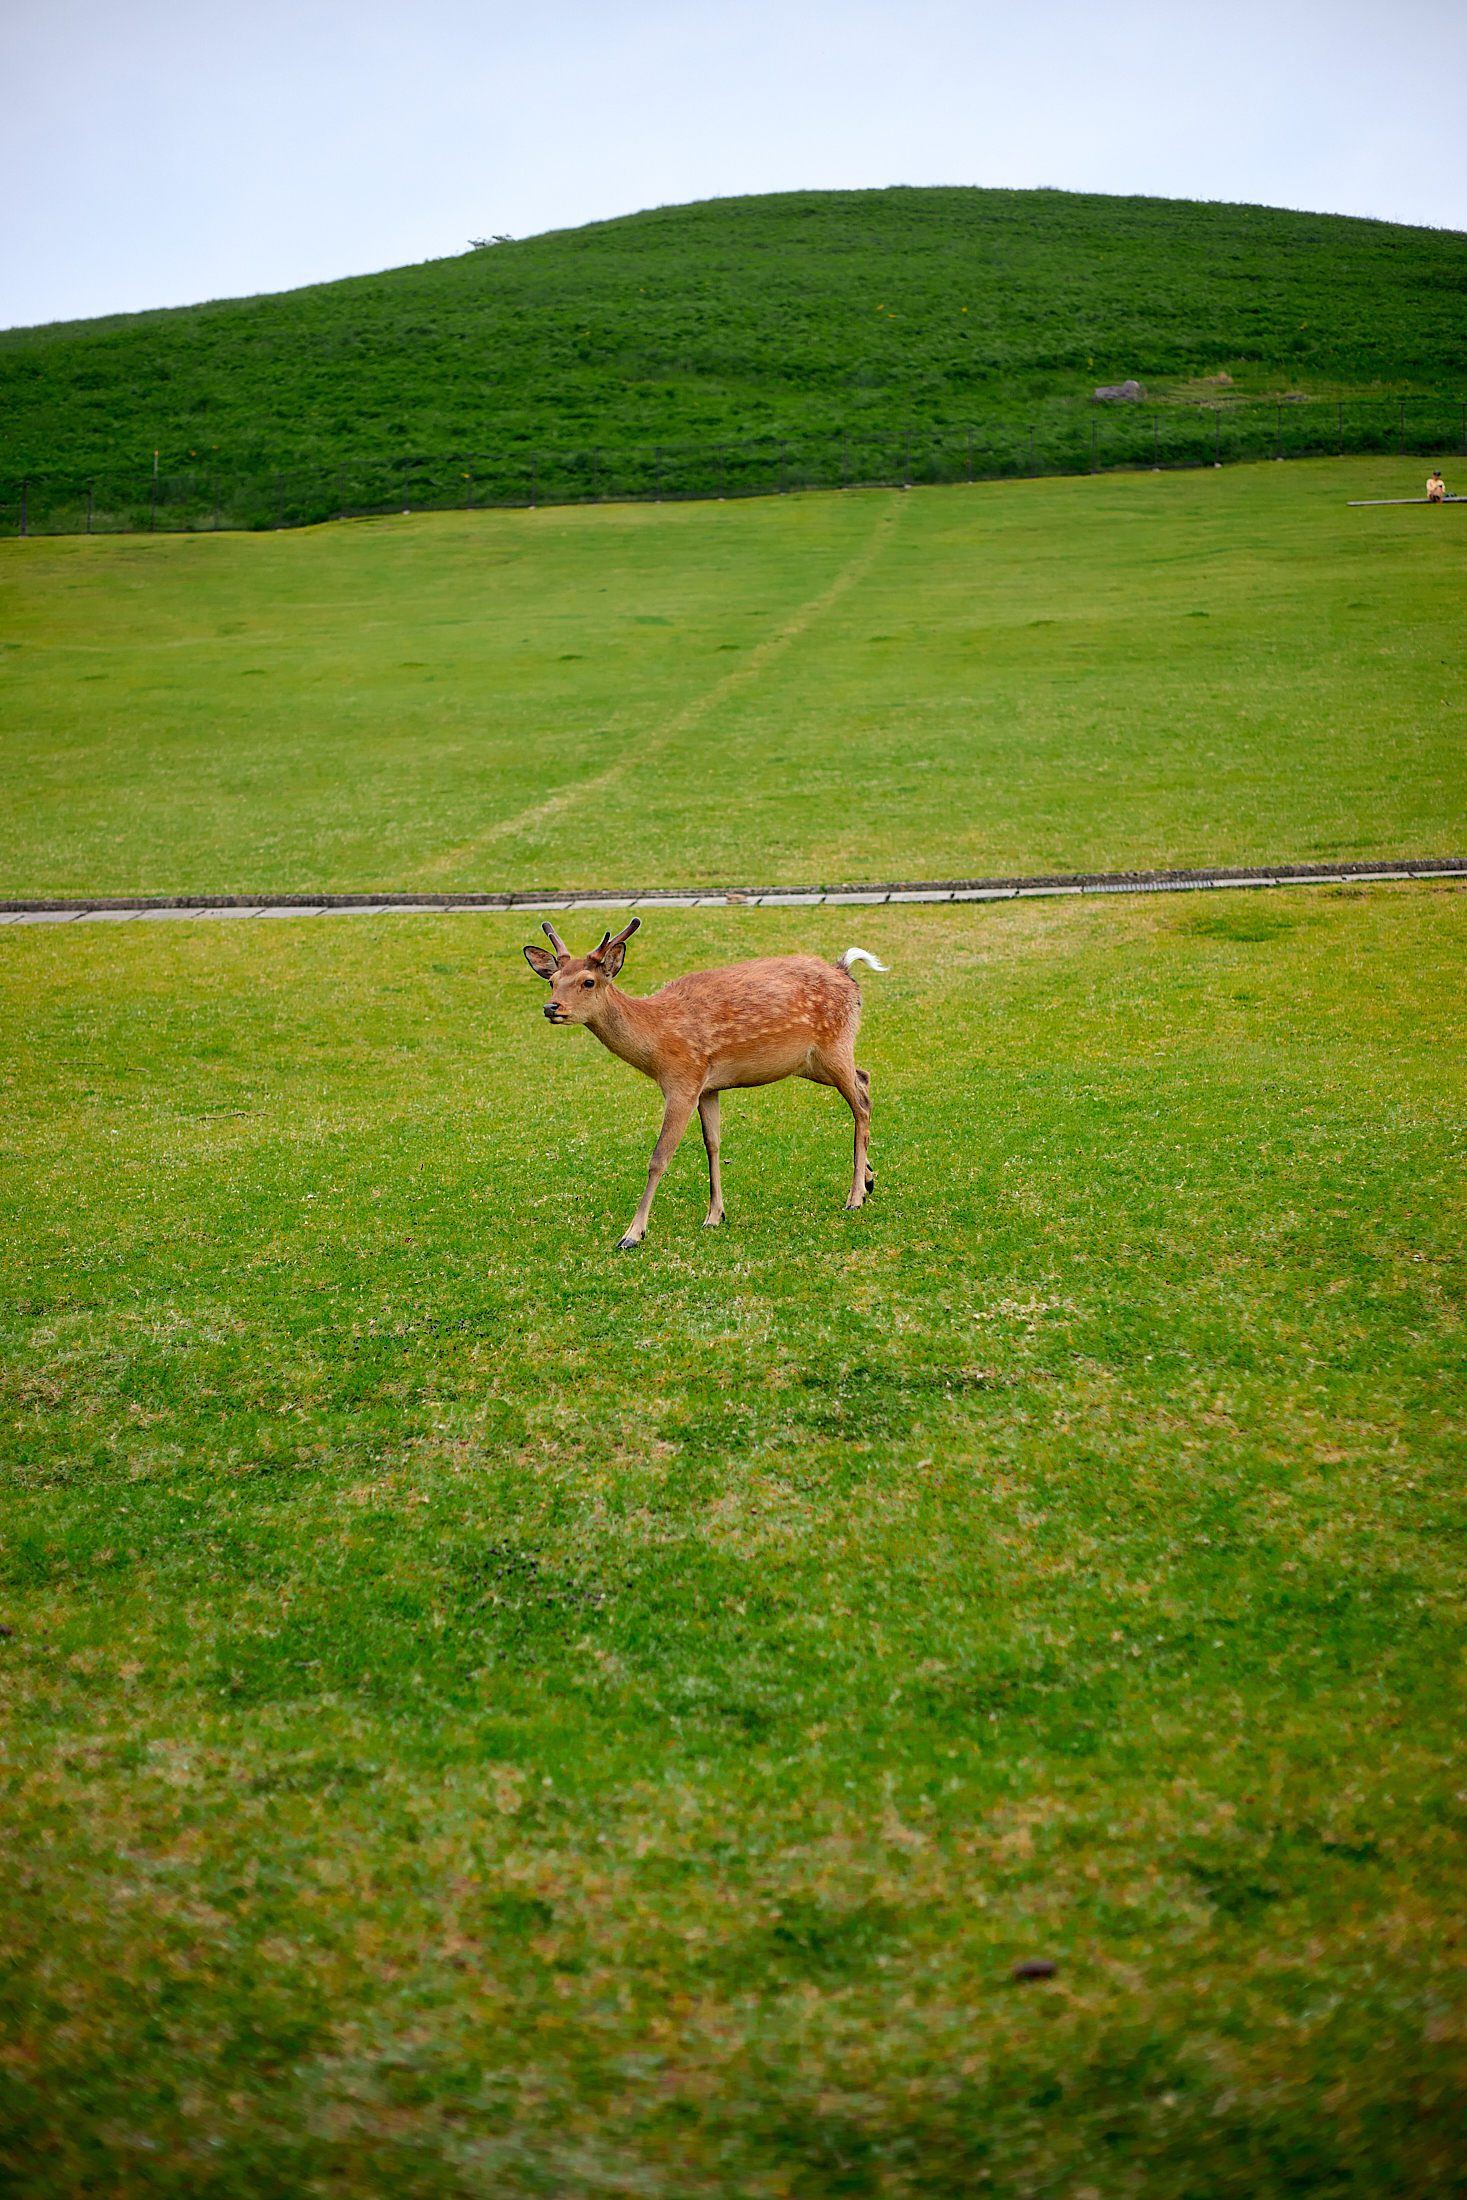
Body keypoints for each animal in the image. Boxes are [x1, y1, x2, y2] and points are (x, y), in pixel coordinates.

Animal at [525, 915, 884, 1258]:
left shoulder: (682, 1081)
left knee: (860, 1104)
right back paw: (868, 1179)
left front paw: (632, 1234)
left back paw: (854, 1197)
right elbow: (712, 1144)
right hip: (811, 1063)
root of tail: (845, 971)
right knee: (864, 1078)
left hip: (834, 1044)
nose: (551, 1007)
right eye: (552, 981)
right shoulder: (707, 1087)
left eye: (588, 981)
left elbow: (659, 1158)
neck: (657, 1041)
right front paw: (714, 1215)